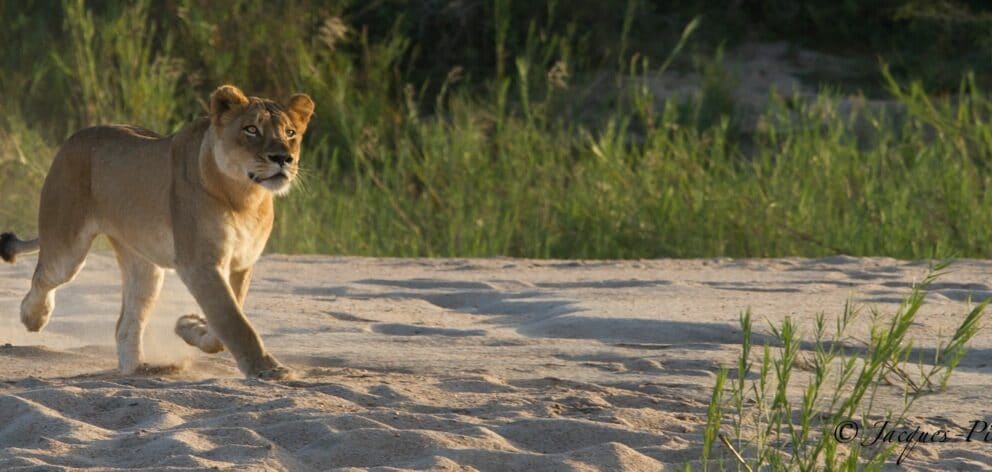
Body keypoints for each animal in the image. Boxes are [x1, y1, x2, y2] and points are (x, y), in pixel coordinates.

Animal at [0, 84, 314, 379]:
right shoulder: (200, 264)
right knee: (43, 277)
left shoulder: (241, 264)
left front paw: (190, 325)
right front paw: (268, 370)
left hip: (144, 268)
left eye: (290, 132)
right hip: (67, 247)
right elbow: (233, 321)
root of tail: (74, 137)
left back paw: (137, 371)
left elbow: (225, 320)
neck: (245, 198)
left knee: (125, 324)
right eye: (251, 129)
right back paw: (33, 317)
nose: (283, 158)